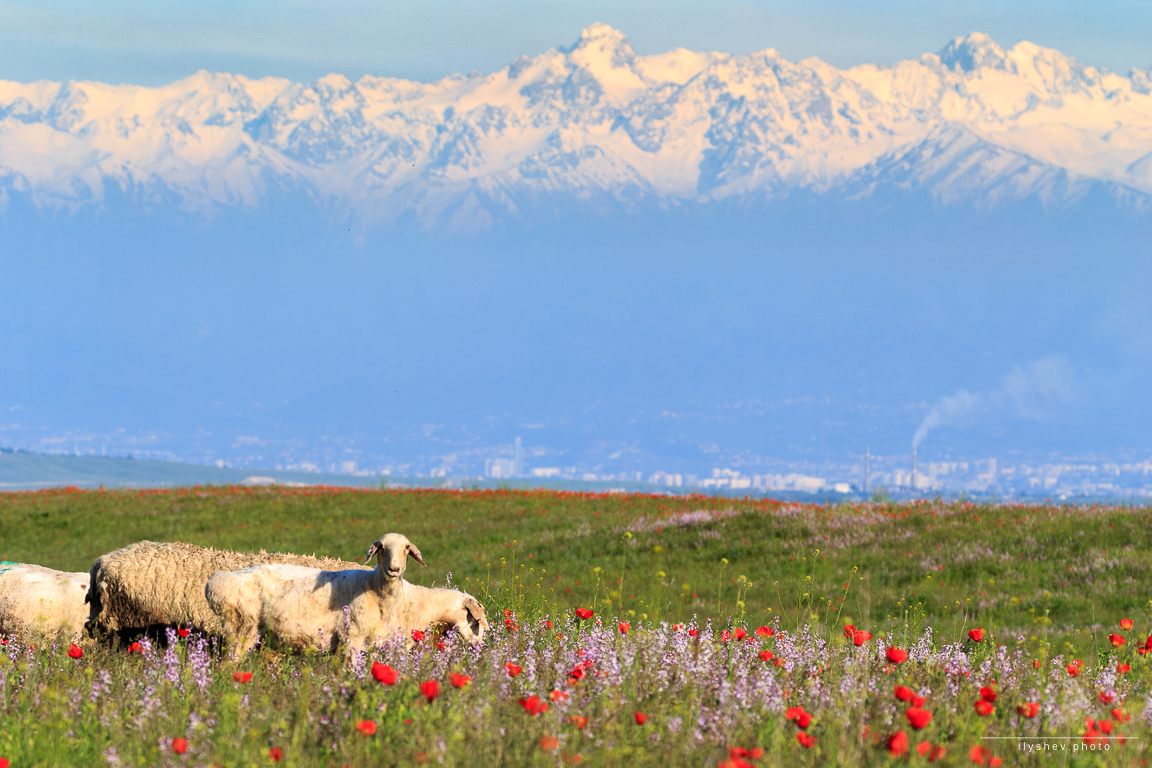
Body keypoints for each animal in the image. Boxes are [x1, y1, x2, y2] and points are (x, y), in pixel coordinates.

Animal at [207, 534, 486, 663]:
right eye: (475, 620)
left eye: (407, 549)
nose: (480, 647)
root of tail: (218, 581)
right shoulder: (355, 638)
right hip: (242, 630)